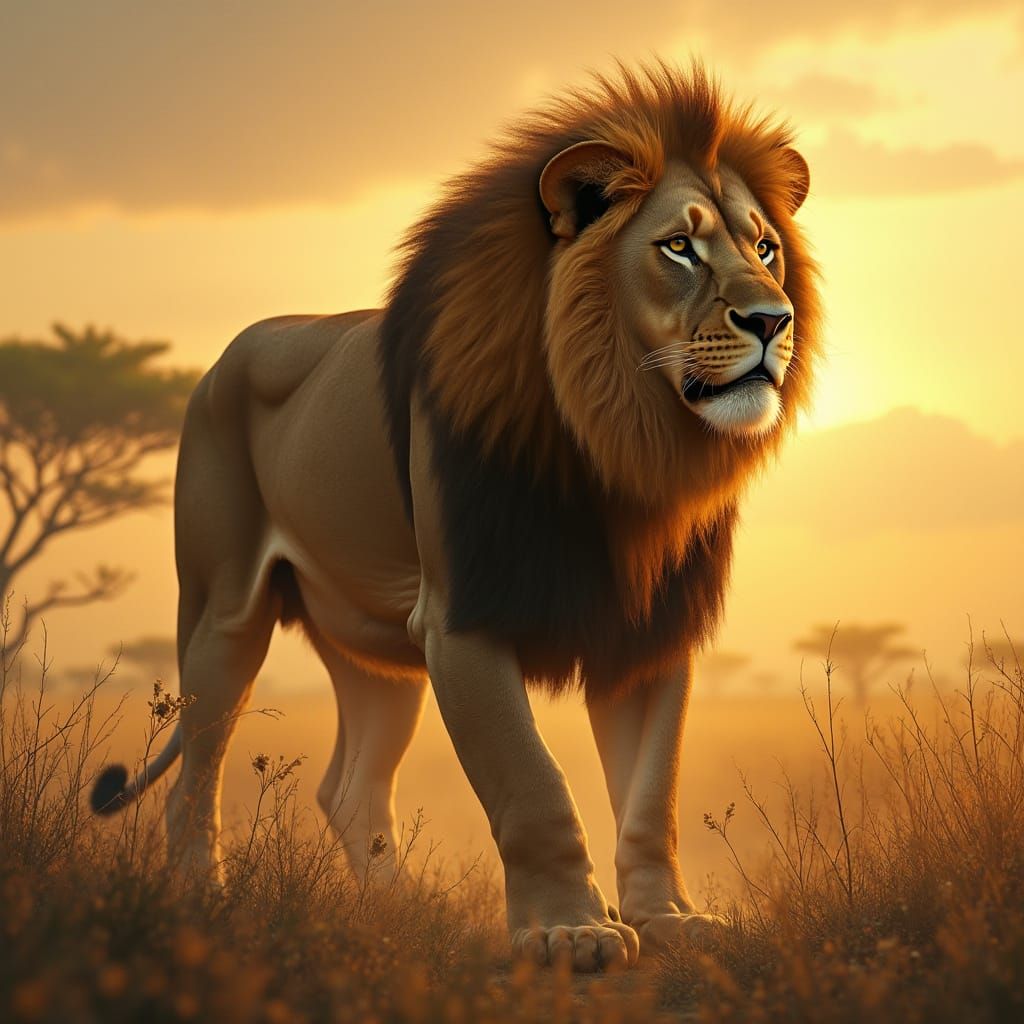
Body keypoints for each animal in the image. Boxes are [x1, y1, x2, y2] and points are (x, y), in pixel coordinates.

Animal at [91, 62, 821, 972]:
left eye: (766, 248)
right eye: (678, 248)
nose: (772, 320)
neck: (620, 442)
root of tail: (227, 353)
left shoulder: (651, 628)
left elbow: (653, 794)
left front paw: (668, 921)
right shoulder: (461, 618)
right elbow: (533, 782)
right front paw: (568, 932)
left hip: (375, 650)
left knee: (350, 786)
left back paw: (403, 916)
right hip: (223, 610)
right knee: (198, 767)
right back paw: (204, 899)